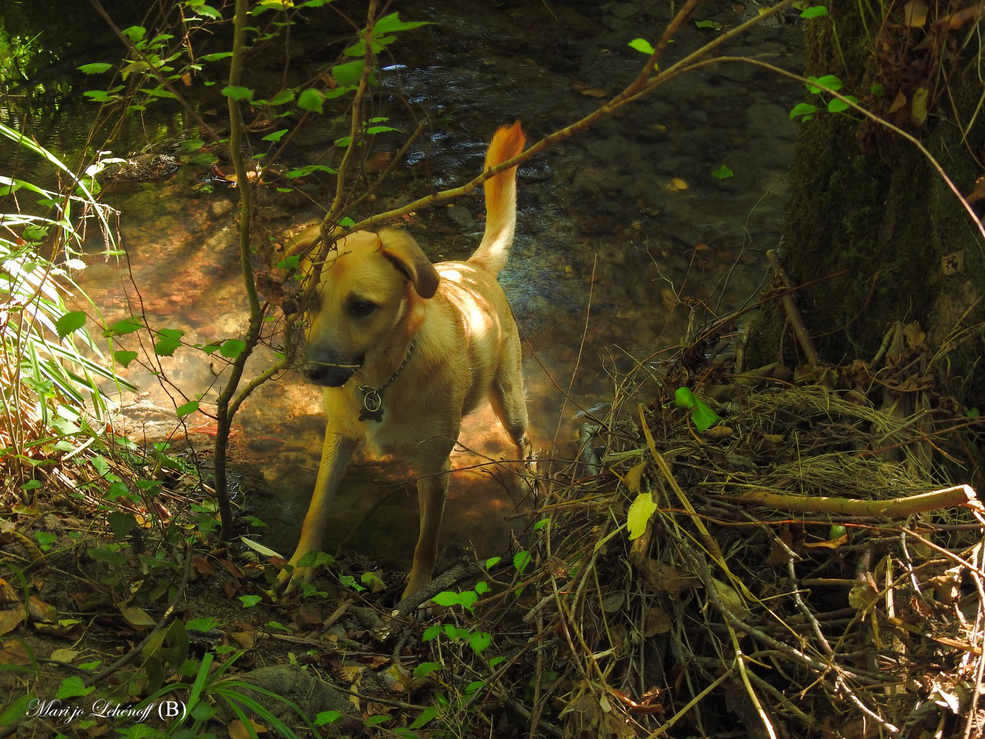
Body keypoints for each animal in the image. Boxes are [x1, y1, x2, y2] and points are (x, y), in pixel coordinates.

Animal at [280, 120, 532, 596]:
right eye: (310, 301)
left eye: (362, 307)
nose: (314, 371)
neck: (381, 380)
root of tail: (474, 269)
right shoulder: (338, 438)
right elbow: (316, 507)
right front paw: (302, 564)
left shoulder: (435, 468)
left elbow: (425, 542)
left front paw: (417, 595)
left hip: (509, 399)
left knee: (526, 442)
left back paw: (531, 485)